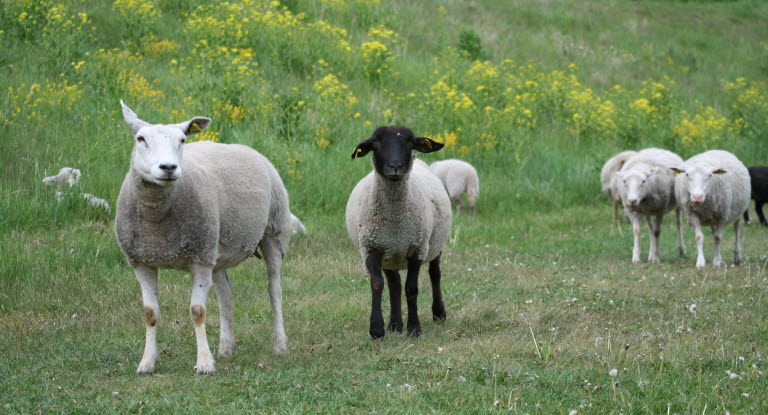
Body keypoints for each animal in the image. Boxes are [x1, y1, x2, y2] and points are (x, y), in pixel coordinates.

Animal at [115, 101, 292, 376]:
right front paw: (147, 363)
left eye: (182, 140)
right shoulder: (142, 262)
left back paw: (279, 344)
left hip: (274, 231)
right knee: (226, 295)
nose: (168, 168)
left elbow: (197, 312)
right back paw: (226, 347)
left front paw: (205, 363)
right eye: (140, 139)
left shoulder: (200, 259)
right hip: (215, 249)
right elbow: (149, 313)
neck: (157, 219)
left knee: (275, 290)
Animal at [346, 127, 452, 342]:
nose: (395, 166)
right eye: (376, 142)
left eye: (410, 143)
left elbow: (411, 289)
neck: (394, 222)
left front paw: (414, 329)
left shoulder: (417, 249)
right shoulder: (371, 248)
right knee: (393, 284)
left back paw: (438, 313)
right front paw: (377, 330)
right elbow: (377, 284)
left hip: (435, 244)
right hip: (390, 255)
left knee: (435, 274)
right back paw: (395, 325)